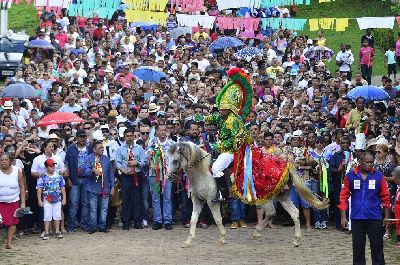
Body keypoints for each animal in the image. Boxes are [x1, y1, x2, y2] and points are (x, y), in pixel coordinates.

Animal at [166, 141, 328, 246]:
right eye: (168, 159)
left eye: (175, 160)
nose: (168, 177)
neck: (203, 171)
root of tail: (286, 164)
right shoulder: (198, 200)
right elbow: (193, 219)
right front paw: (188, 241)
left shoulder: (212, 201)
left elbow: (217, 219)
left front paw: (222, 238)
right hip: (283, 196)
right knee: (294, 213)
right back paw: (296, 240)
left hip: (265, 198)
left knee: (271, 213)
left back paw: (257, 231)